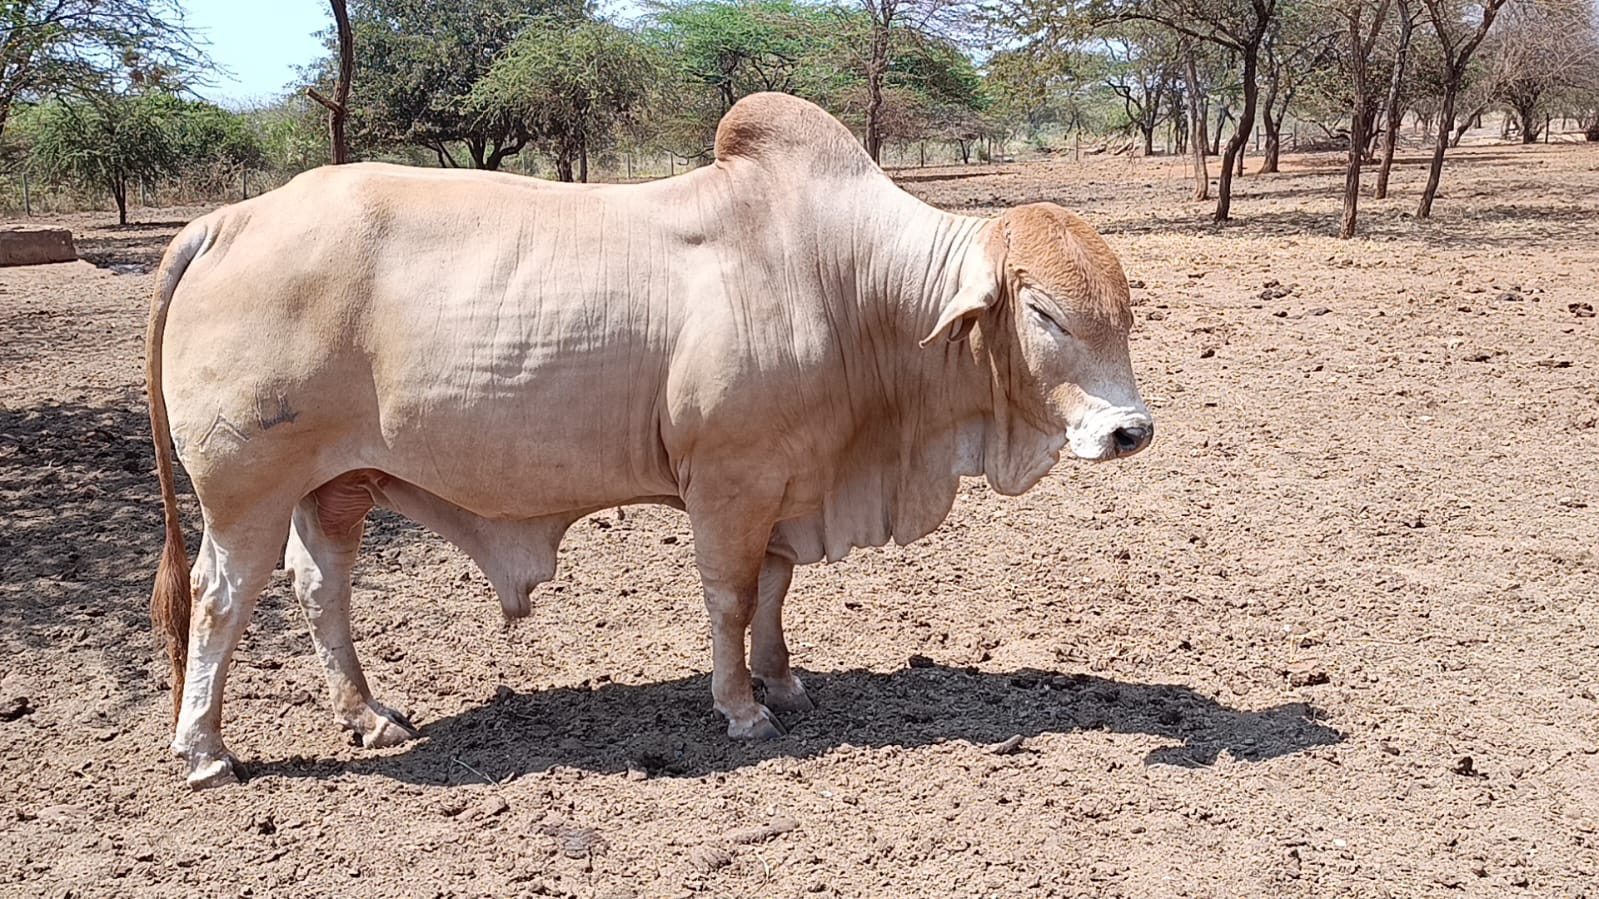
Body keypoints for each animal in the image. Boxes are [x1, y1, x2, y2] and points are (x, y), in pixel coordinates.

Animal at [146, 93, 1153, 789]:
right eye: (1044, 312)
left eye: (1124, 310)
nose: (1129, 429)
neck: (847, 283)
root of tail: (228, 219)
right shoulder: (729, 483)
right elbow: (731, 596)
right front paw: (741, 708)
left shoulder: (785, 483)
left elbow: (775, 592)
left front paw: (784, 682)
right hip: (245, 490)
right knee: (220, 597)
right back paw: (205, 750)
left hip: (335, 485)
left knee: (321, 589)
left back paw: (368, 713)